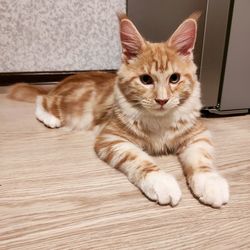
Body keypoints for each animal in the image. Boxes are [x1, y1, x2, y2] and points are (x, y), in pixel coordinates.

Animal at [8, 12, 229, 207]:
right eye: (146, 80)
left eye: (174, 78)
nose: (162, 100)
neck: (160, 121)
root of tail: (63, 81)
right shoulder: (111, 137)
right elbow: (139, 159)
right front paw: (161, 181)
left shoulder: (198, 133)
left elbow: (202, 160)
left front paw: (210, 183)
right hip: (64, 106)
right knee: (41, 100)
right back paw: (50, 119)